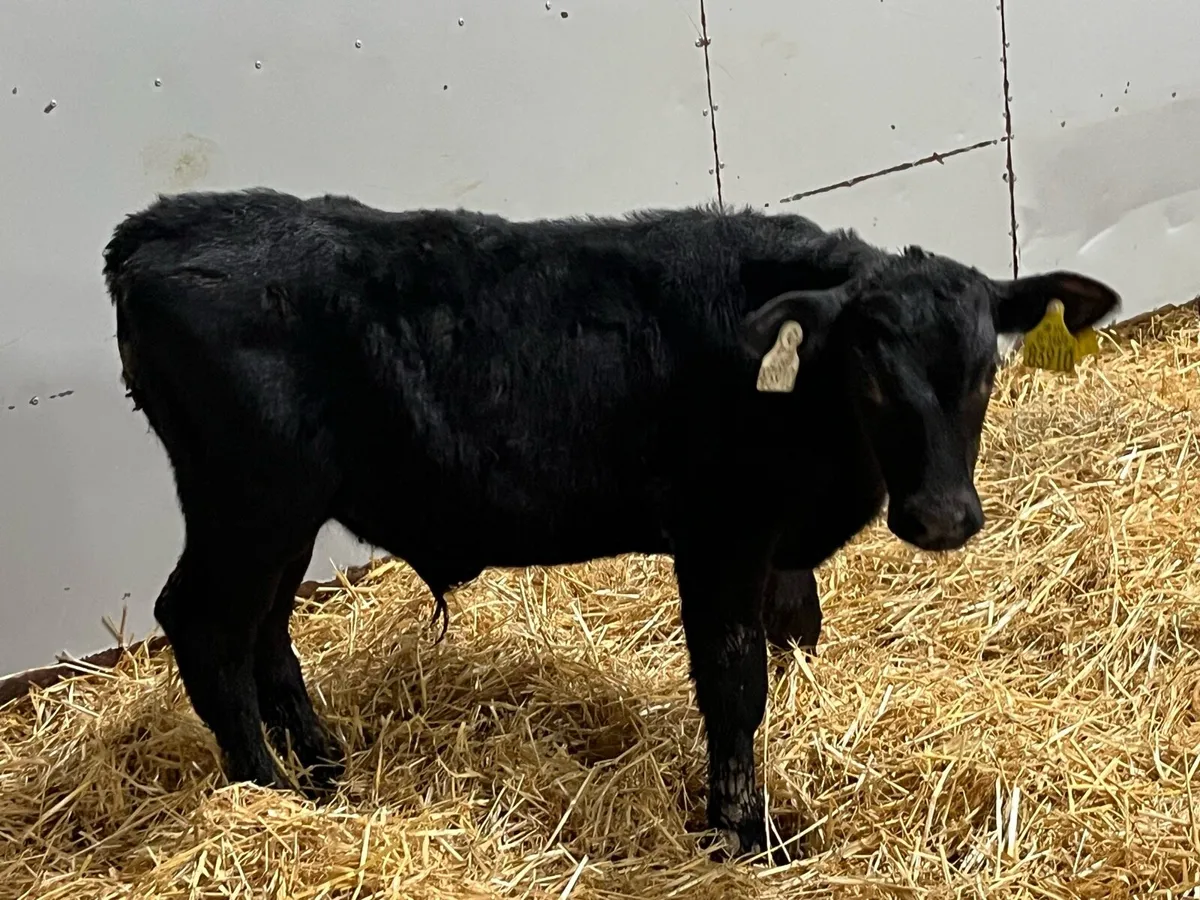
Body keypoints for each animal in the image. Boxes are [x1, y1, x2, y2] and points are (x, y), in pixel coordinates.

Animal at [102, 189, 1119, 859]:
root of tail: (159, 225)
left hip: (288, 513)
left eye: (986, 368)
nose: (943, 517)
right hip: (248, 501)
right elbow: (736, 683)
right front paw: (748, 835)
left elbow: (794, 632)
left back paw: (324, 774)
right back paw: (265, 797)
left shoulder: (771, 551)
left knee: (265, 632)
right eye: (872, 375)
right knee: (204, 625)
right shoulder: (719, 538)